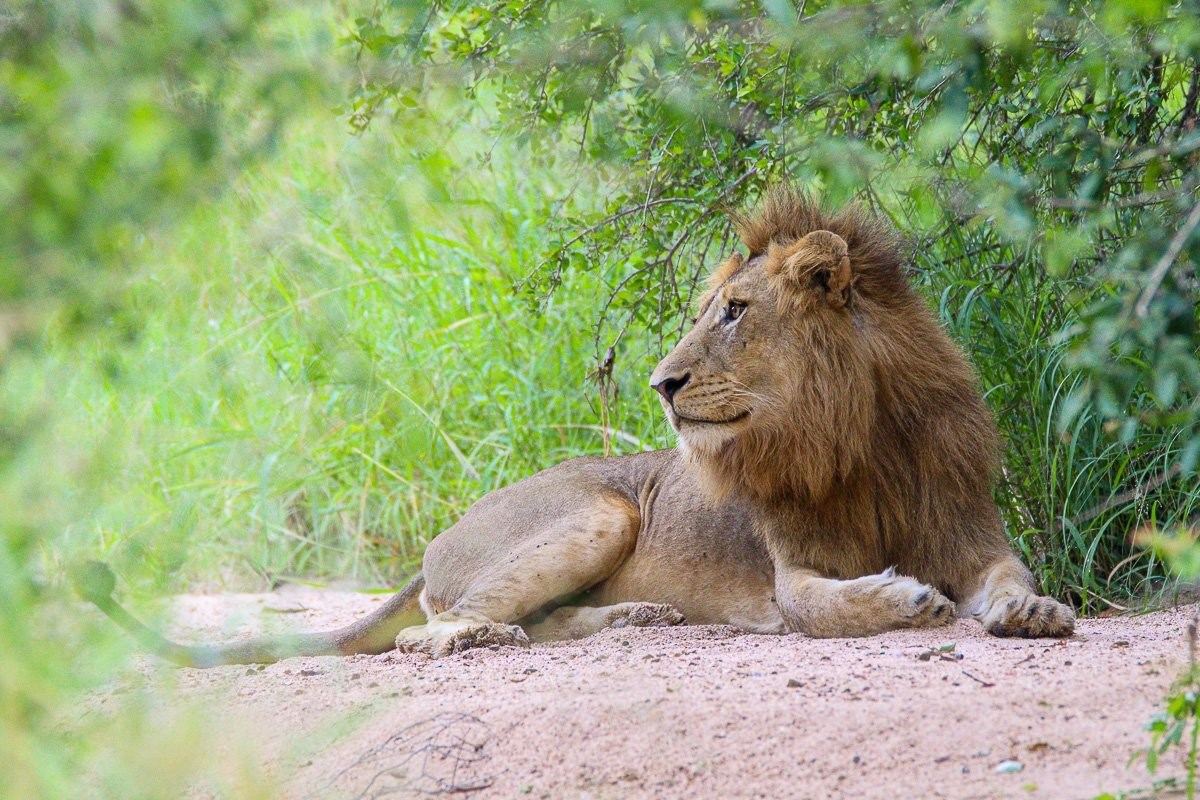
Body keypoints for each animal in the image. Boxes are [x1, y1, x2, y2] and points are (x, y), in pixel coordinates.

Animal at [78, 188, 1074, 665]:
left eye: (735, 312)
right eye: (709, 308)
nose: (662, 384)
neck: (862, 444)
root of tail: (431, 548)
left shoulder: (969, 528)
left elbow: (1010, 575)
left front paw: (1031, 612)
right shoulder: (790, 570)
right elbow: (822, 604)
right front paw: (908, 599)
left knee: (544, 619)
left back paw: (636, 615)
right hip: (601, 511)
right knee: (425, 632)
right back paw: (481, 637)